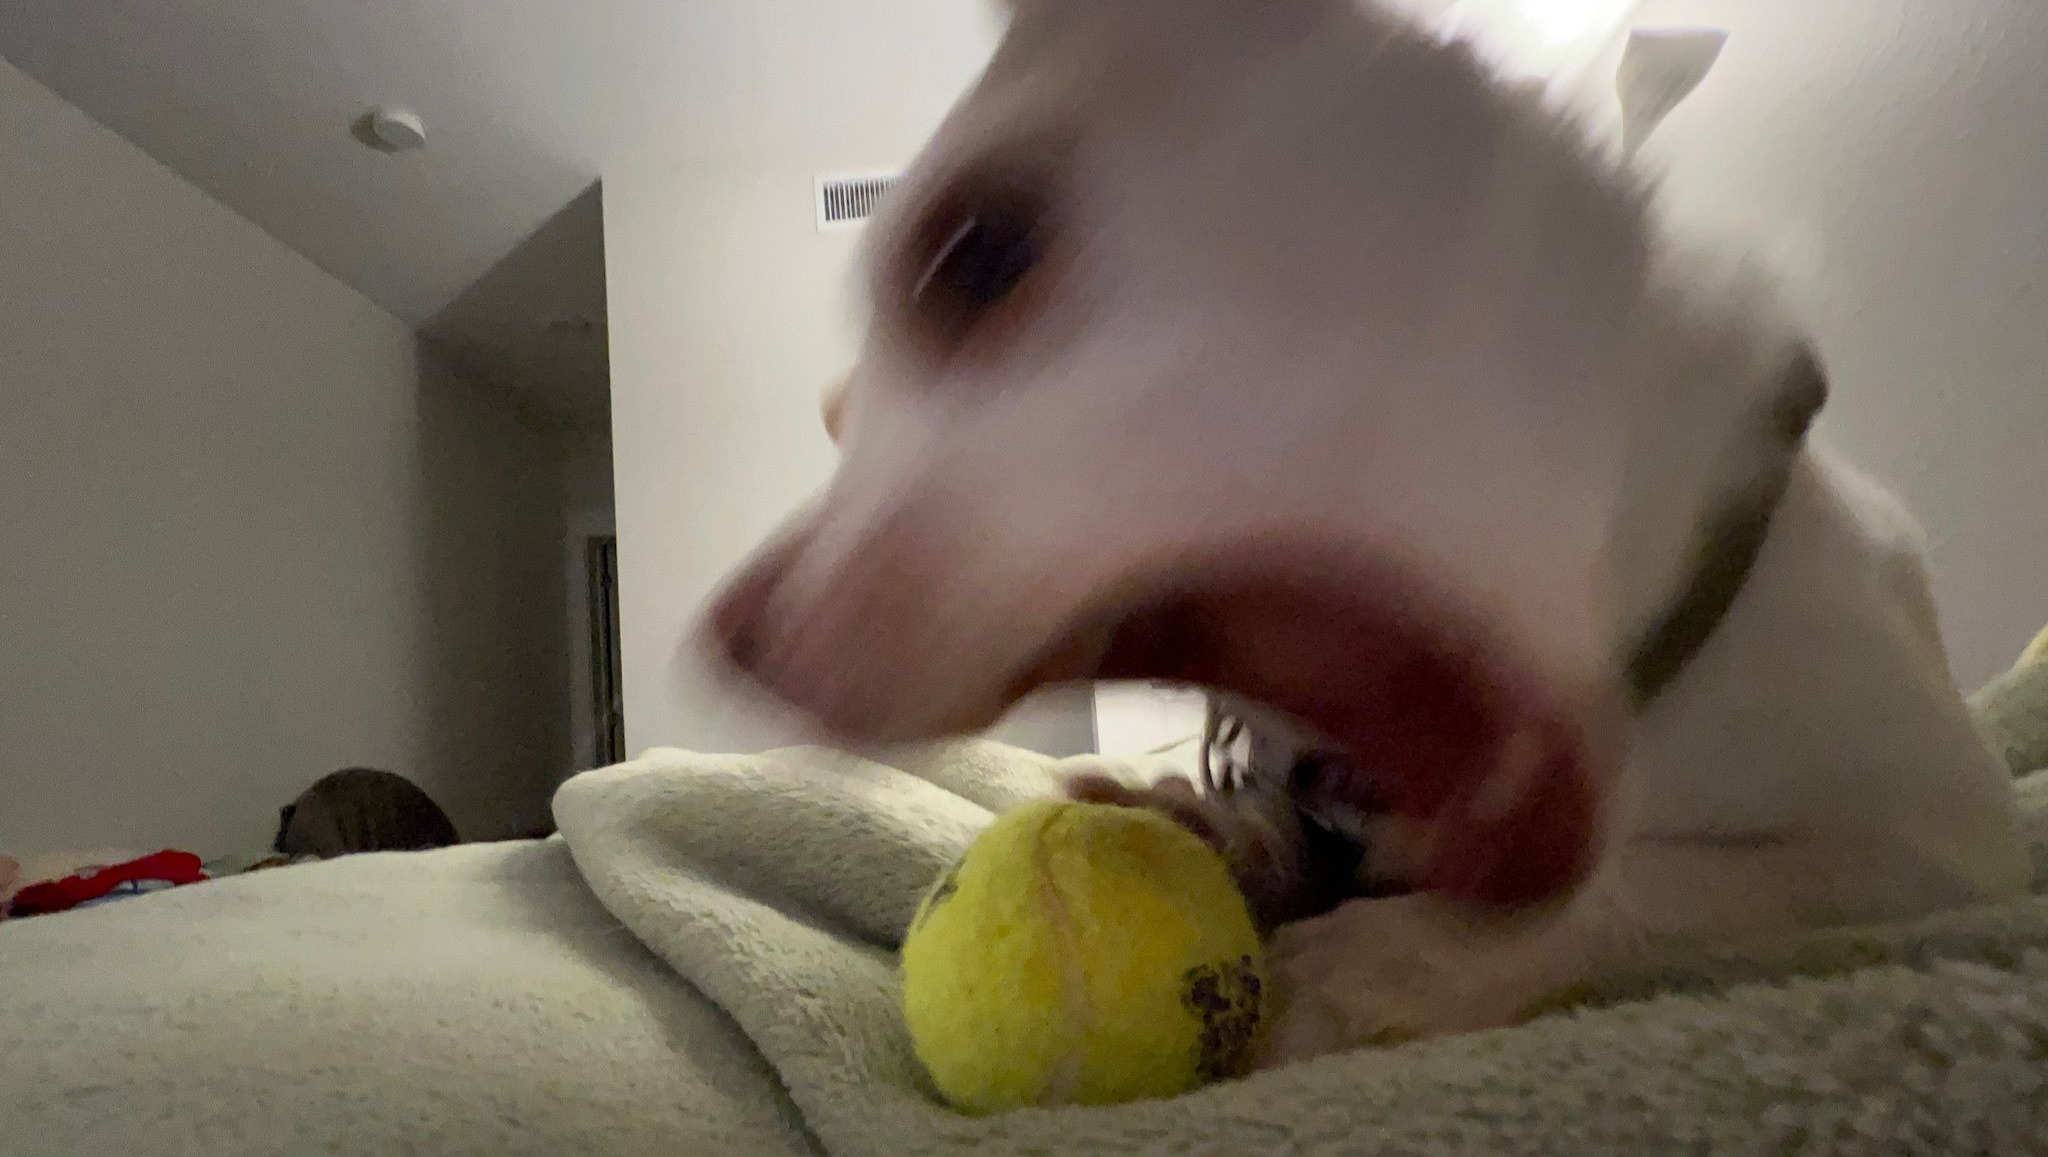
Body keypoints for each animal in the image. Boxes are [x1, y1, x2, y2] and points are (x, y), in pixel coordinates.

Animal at [710, 0, 2027, 1066]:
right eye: (832, 419)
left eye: (977, 253)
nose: (731, 632)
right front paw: (1204, 823)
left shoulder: (1946, 841)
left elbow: (1658, 877)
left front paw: (1391, 962)